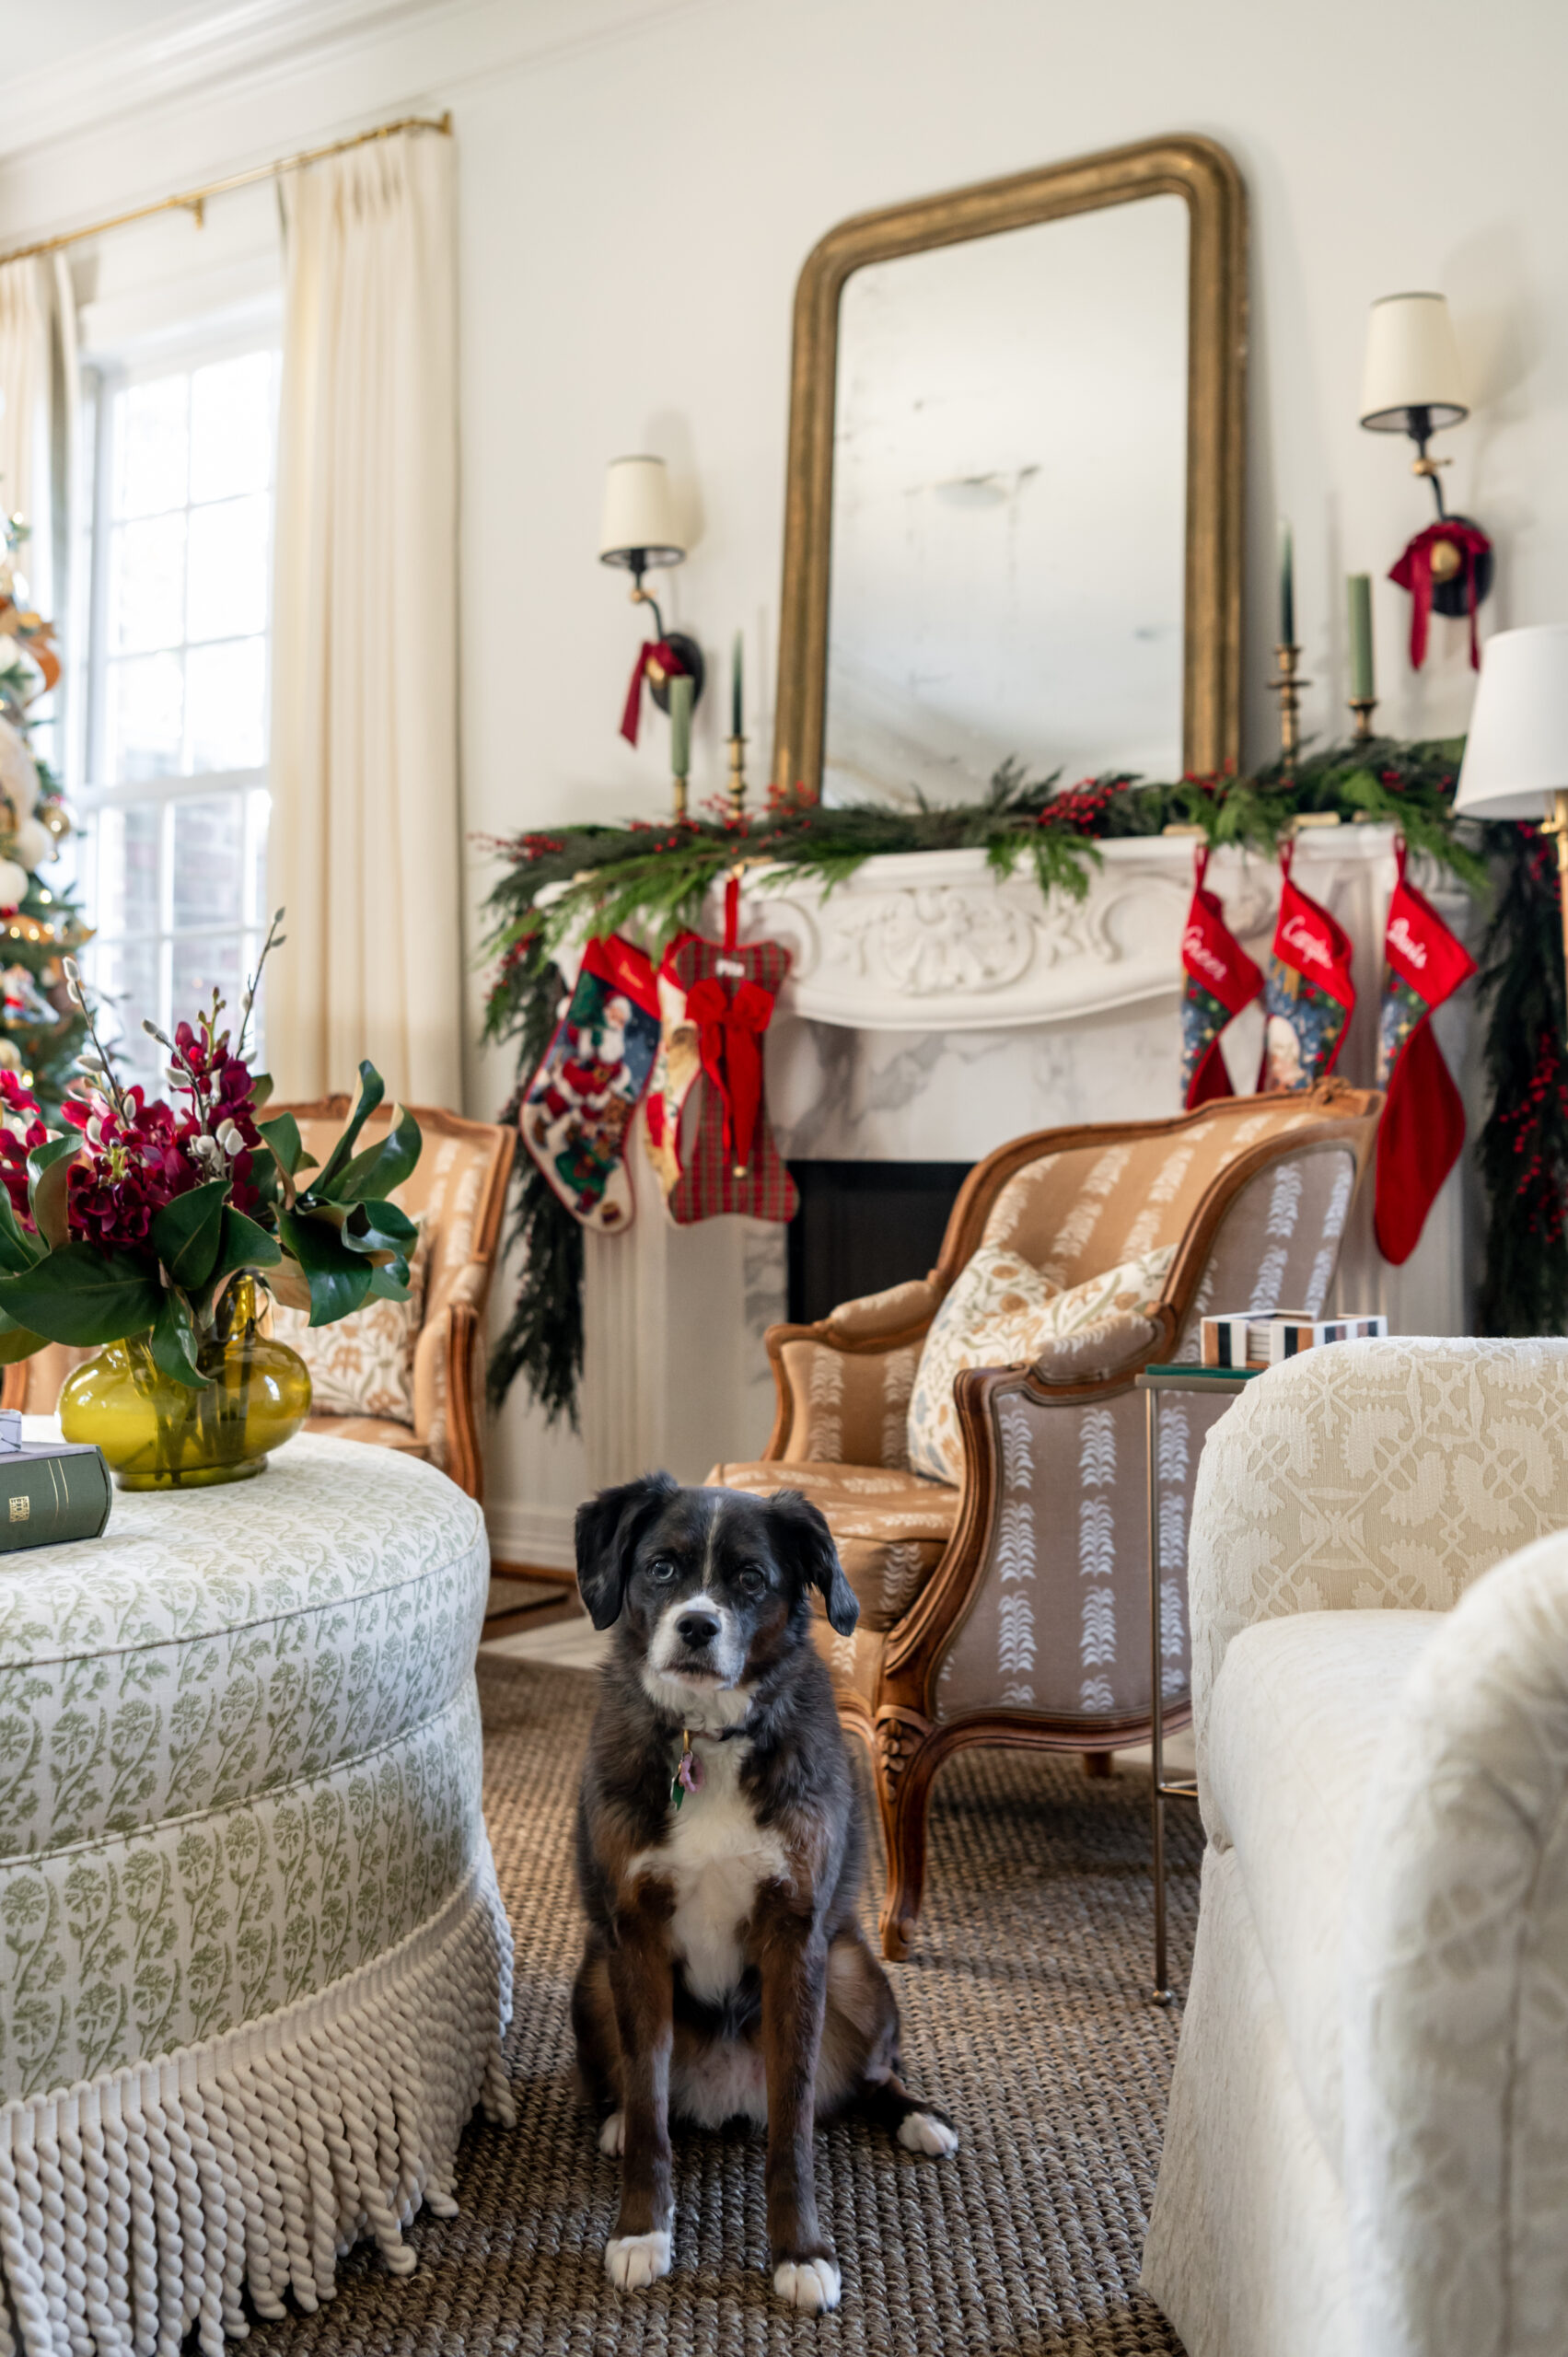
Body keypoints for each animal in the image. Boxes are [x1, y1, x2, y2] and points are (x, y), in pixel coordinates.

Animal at [565, 1480, 952, 2309]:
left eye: (750, 1579)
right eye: (660, 1567)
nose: (697, 1625)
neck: (707, 1741)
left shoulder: (794, 1942)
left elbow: (794, 2124)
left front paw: (800, 2252)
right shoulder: (633, 1935)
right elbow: (649, 2107)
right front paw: (641, 2231)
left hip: (857, 1974)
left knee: (875, 2075)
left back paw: (918, 2119)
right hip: (592, 1977)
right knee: (628, 2091)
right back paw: (612, 2124)